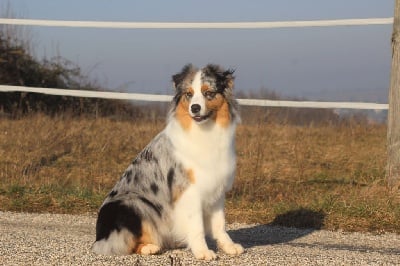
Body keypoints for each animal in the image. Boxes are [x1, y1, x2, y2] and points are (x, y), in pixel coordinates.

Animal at [92, 64, 242, 260]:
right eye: (189, 94)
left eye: (208, 93)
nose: (195, 108)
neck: (204, 131)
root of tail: (99, 236)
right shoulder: (188, 191)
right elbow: (197, 226)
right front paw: (202, 251)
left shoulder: (216, 189)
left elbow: (220, 224)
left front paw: (229, 246)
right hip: (132, 203)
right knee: (121, 243)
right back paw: (150, 247)